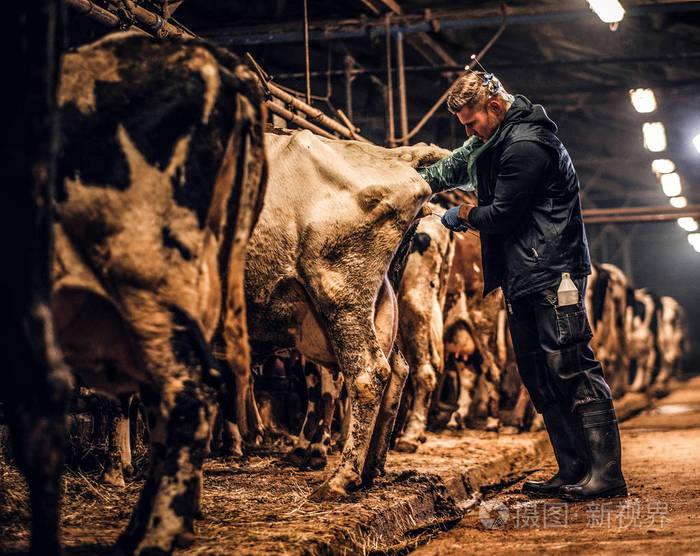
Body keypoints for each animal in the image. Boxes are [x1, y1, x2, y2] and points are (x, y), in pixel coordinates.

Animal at [243, 131, 446, 500]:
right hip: (380, 304)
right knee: (397, 368)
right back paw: (369, 469)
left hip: (342, 293)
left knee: (370, 373)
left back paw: (340, 477)